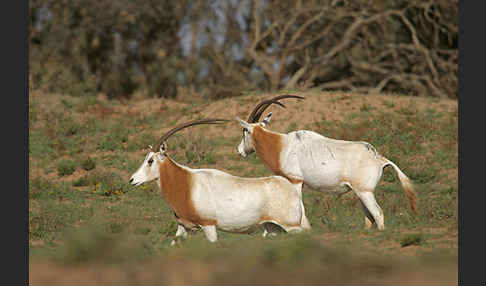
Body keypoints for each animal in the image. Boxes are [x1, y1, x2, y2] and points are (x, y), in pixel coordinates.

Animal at [130, 118, 308, 244]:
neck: (186, 182)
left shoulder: (209, 226)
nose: (132, 180)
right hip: (273, 228)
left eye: (150, 161)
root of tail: (290, 188)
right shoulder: (183, 227)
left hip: (292, 227)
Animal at [236, 95, 418, 230]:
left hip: (365, 192)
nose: (240, 151)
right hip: (361, 192)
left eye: (244, 130)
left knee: (378, 214)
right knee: (369, 218)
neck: (282, 146)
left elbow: (300, 207)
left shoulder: (295, 181)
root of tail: (379, 158)